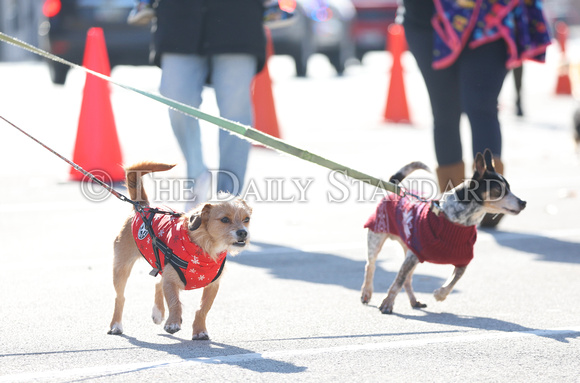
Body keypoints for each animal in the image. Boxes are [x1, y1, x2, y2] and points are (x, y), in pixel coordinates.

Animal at [108, 160, 251, 340]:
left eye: (247, 219)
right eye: (225, 219)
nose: (243, 233)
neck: (205, 249)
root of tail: (142, 207)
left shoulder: (213, 285)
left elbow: (203, 309)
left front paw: (199, 330)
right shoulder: (171, 280)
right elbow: (175, 302)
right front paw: (173, 323)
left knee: (157, 283)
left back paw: (158, 313)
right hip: (121, 268)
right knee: (120, 297)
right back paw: (116, 325)